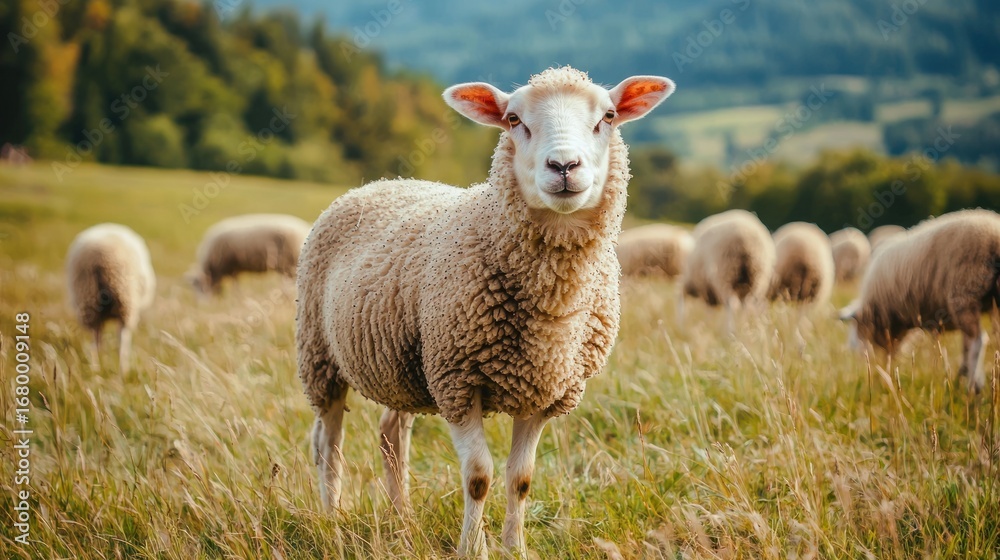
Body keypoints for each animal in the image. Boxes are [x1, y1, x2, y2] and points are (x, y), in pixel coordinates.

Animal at [65, 223, 156, 372]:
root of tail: (100, 256)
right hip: (125, 302)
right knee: (121, 340)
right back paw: (122, 369)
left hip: (88, 301)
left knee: (95, 340)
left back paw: (96, 368)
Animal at [297, 67, 674, 558]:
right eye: (514, 119)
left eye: (608, 116)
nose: (564, 167)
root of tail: (381, 182)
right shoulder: (458, 382)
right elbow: (479, 477)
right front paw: (472, 548)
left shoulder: (544, 392)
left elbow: (521, 479)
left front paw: (515, 547)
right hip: (321, 356)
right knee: (328, 443)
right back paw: (333, 519)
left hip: (405, 364)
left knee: (390, 435)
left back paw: (403, 521)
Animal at [840, 209, 1000, 392]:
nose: (864, 360)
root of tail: (995, 239)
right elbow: (965, 346)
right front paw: (961, 374)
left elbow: (969, 345)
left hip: (964, 293)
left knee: (978, 340)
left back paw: (975, 384)